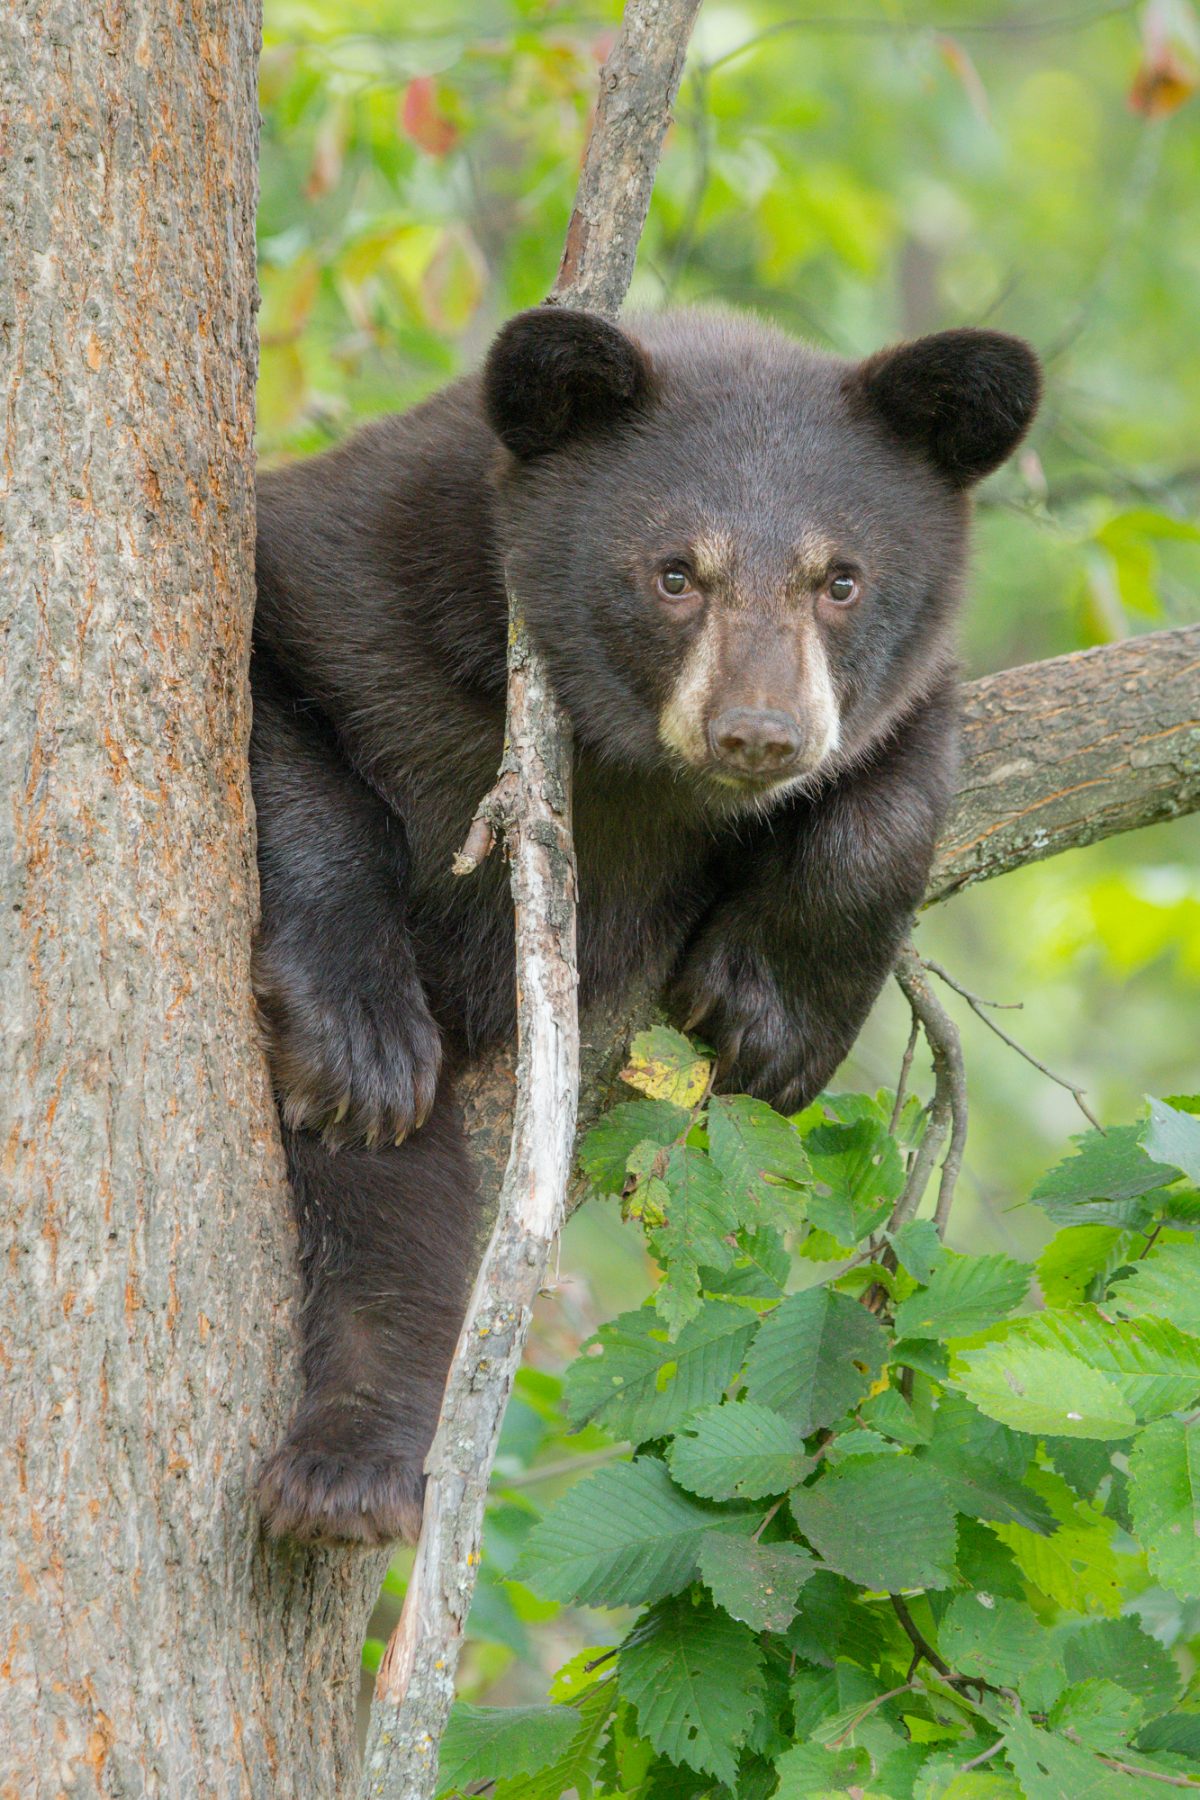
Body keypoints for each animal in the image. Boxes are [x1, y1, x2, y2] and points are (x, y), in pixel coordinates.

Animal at [253, 302, 1043, 1540]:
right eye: (675, 573)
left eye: (843, 580)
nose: (758, 733)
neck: (618, 763)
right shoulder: (354, 577)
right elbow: (272, 719)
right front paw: (358, 1027)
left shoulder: (895, 696)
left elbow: (898, 782)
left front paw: (772, 1016)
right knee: (378, 1183)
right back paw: (344, 1460)